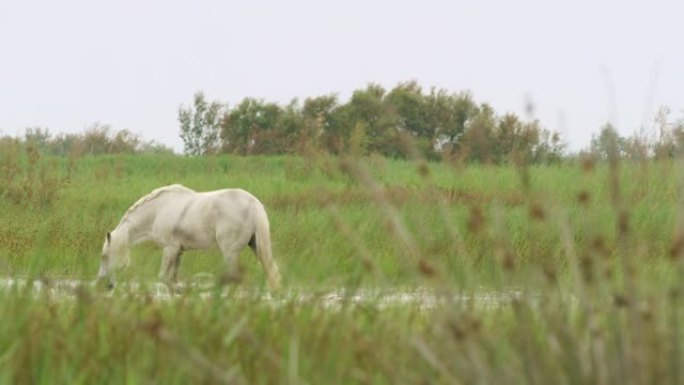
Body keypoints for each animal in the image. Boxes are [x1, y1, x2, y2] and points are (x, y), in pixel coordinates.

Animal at [96, 184, 280, 290]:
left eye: (104, 256)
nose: (104, 284)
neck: (157, 210)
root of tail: (253, 203)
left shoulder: (170, 249)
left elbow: (164, 278)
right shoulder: (179, 251)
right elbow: (172, 279)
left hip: (230, 252)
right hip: (255, 246)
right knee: (271, 271)